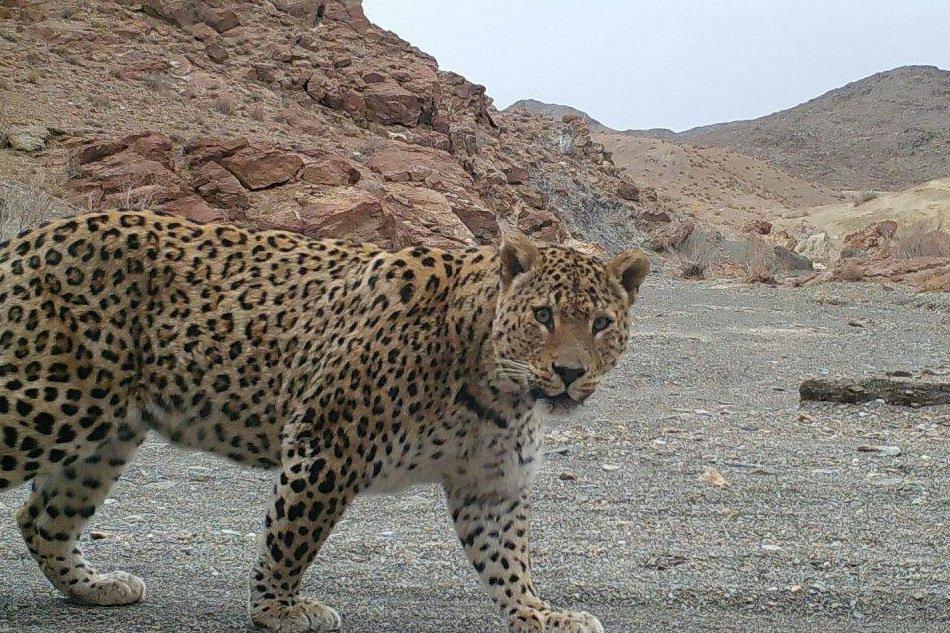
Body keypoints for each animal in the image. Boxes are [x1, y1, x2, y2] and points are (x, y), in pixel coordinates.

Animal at [0, 210, 648, 628]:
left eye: (600, 324)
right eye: (543, 316)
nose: (569, 372)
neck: (497, 383)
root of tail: (26, 239)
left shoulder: (489, 482)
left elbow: (507, 557)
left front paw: (540, 614)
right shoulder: (327, 443)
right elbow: (291, 536)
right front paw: (278, 610)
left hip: (103, 433)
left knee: (43, 519)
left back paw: (94, 588)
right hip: (48, 403)